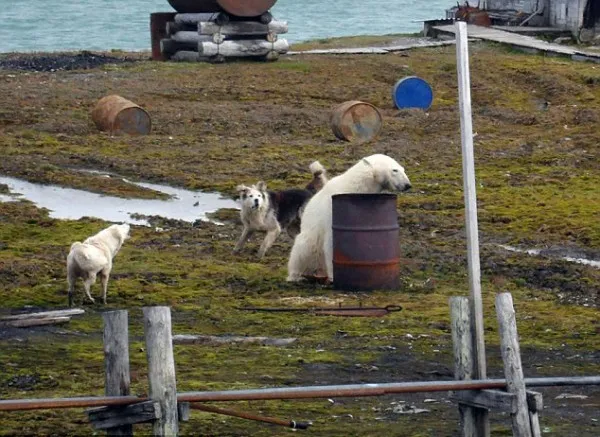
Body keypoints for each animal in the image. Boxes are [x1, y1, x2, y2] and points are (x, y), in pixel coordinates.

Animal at [288, 154, 412, 282]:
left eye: (403, 169)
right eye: (394, 170)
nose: (407, 185)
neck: (358, 186)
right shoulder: (332, 212)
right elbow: (332, 242)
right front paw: (335, 276)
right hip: (309, 238)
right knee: (303, 250)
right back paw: (297, 276)